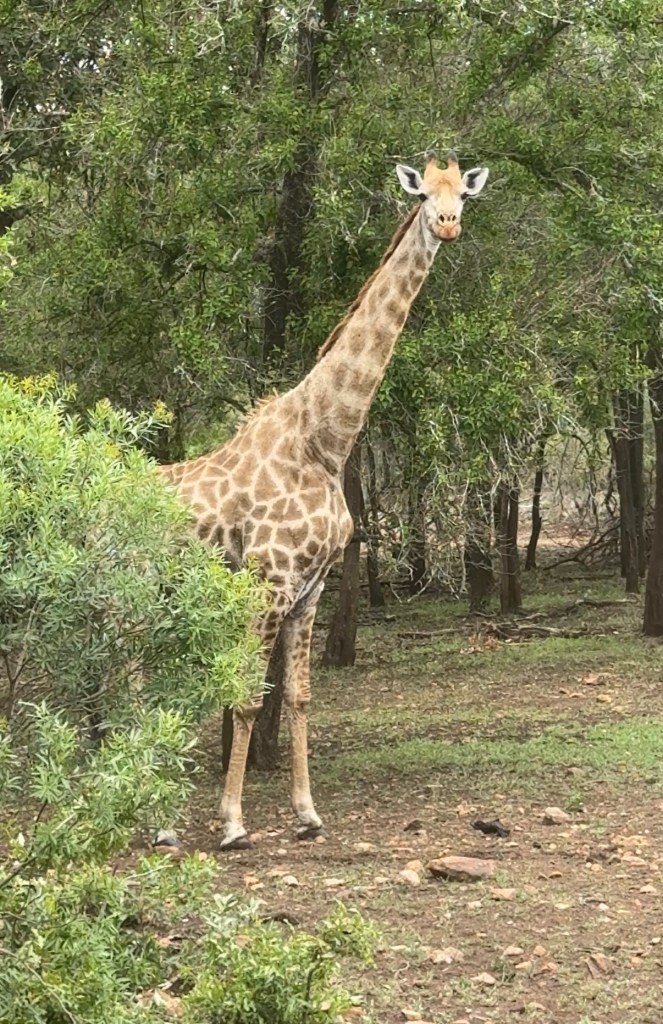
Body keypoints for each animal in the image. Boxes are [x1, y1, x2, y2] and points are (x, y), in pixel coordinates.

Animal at [160, 150, 489, 850]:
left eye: (463, 195)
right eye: (424, 195)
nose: (447, 226)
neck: (325, 441)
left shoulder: (310, 588)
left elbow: (300, 695)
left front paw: (307, 814)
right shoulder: (270, 580)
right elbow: (249, 695)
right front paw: (233, 823)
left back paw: (159, 820)